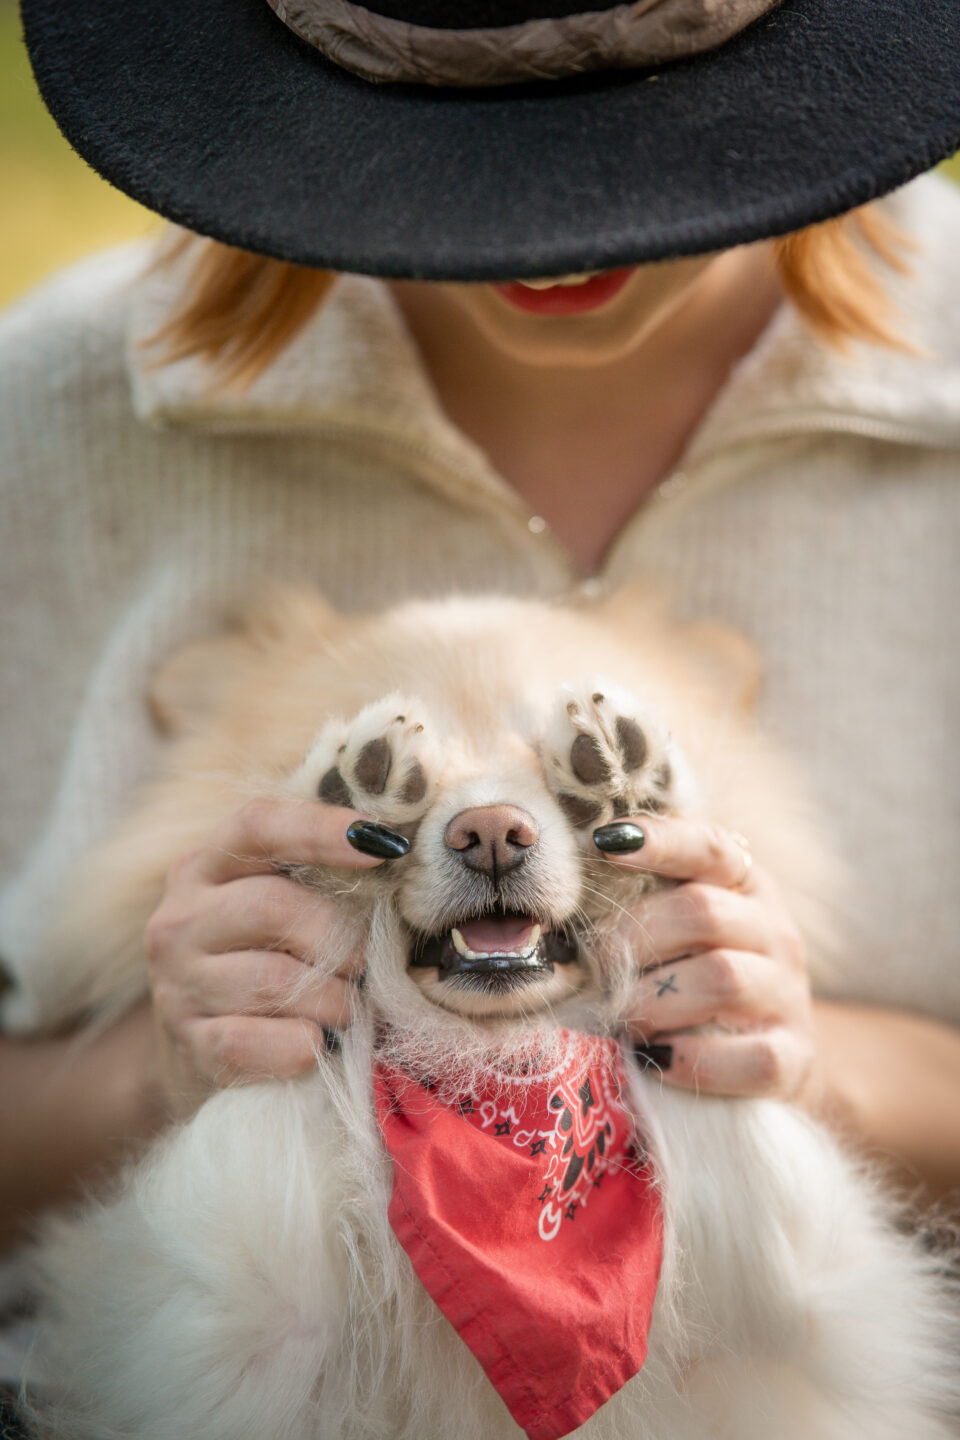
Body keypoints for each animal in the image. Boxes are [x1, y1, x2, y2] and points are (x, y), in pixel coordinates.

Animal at [9, 584, 960, 1440]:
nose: (493, 830)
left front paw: (634, 810)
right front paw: (335, 829)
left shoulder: (780, 1301)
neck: (502, 1067)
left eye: (537, 754)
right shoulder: (237, 1325)